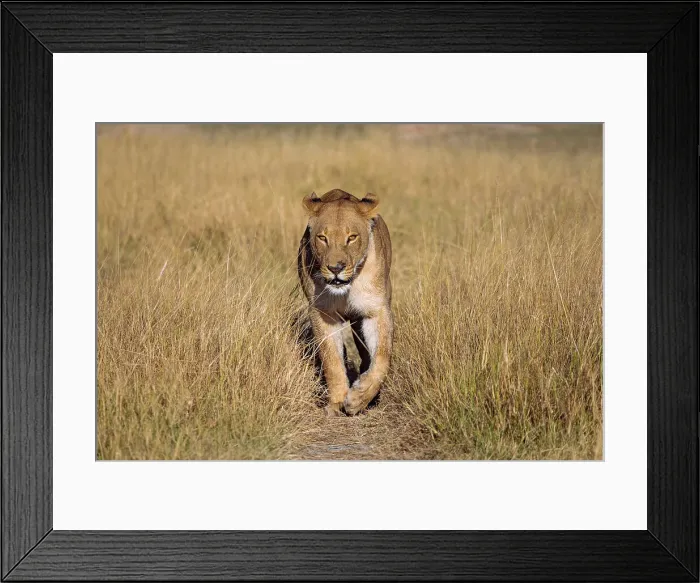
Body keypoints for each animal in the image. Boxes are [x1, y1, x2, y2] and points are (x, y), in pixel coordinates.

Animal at [297, 188, 393, 416]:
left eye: (351, 238)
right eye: (323, 238)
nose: (335, 268)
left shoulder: (375, 310)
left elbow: (382, 357)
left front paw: (359, 398)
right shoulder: (323, 312)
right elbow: (332, 360)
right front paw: (337, 403)